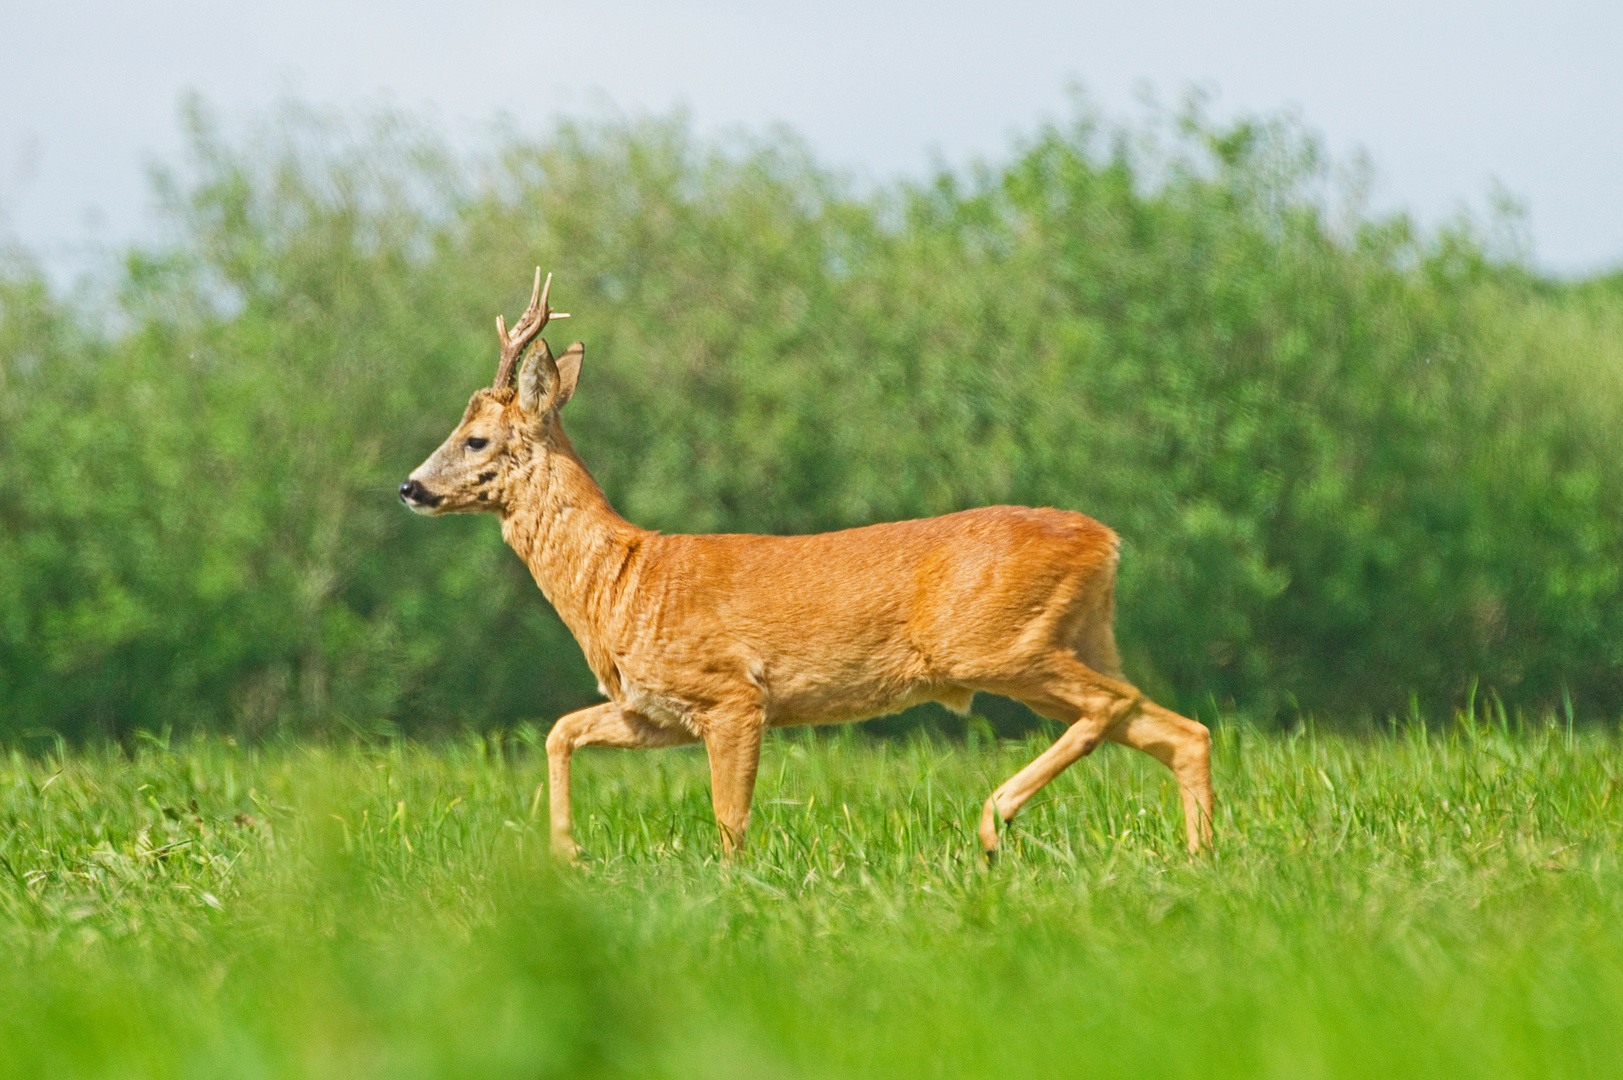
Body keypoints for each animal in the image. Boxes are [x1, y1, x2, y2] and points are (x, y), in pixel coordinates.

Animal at [402, 267, 1220, 857]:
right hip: (1076, 637)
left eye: (475, 439)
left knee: (1118, 708)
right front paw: (565, 856)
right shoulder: (653, 709)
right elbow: (560, 729)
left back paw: (995, 820)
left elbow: (729, 821)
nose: (409, 487)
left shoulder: (732, 694)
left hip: (995, 642)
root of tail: (1106, 540)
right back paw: (1197, 856)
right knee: (1178, 727)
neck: (622, 582)